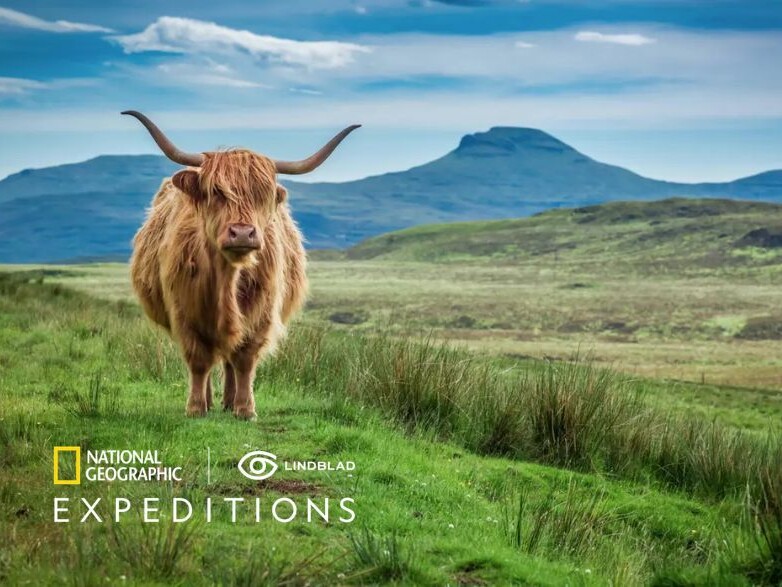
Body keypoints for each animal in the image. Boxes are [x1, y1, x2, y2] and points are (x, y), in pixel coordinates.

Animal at [123, 111, 359, 419]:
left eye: (263, 195)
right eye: (216, 192)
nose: (243, 233)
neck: (227, 279)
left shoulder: (261, 313)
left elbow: (245, 359)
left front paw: (245, 409)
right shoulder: (184, 311)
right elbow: (199, 360)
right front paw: (196, 408)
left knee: (230, 360)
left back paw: (229, 401)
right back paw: (211, 400)